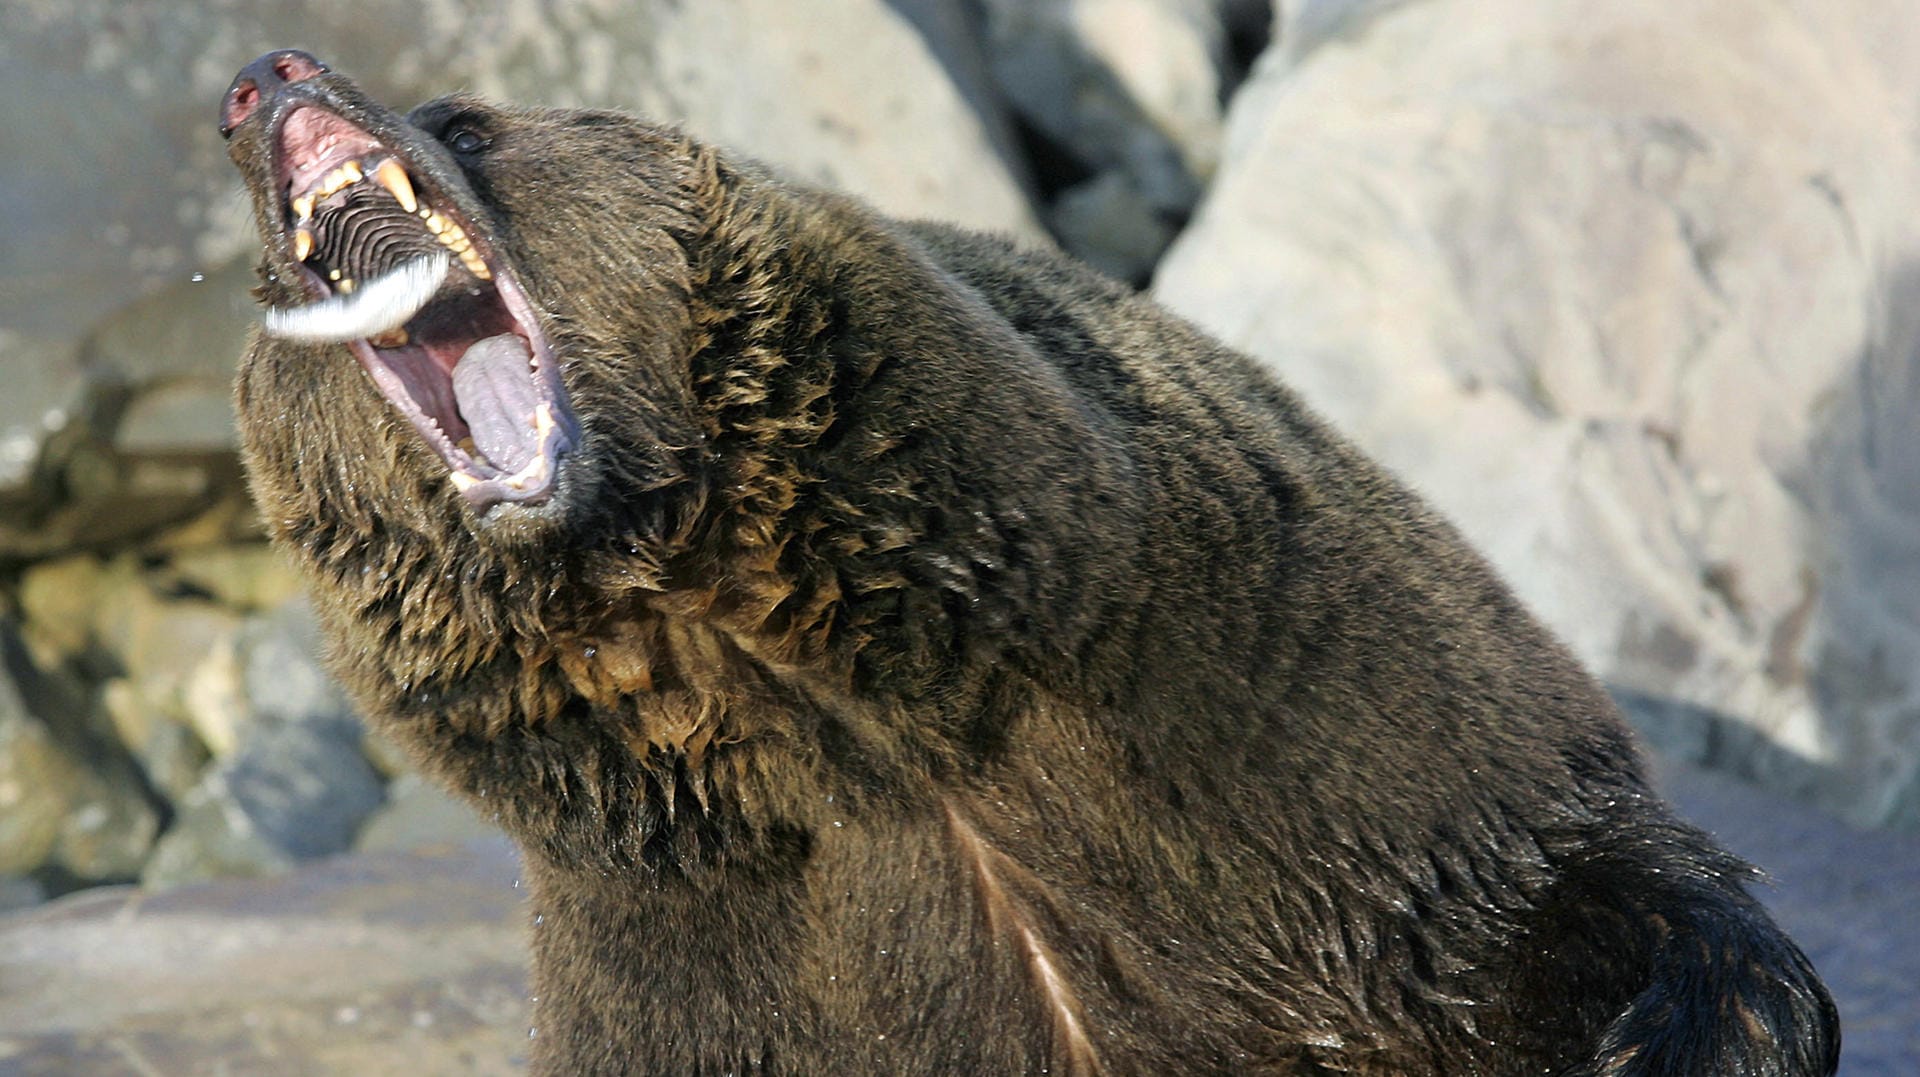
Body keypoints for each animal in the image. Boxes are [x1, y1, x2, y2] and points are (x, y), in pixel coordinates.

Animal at [217, 50, 1835, 1075]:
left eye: (465, 111)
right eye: (259, 274)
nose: (264, 82)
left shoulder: (1302, 730)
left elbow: (1592, 891)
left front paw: (1677, 1032)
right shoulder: (712, 953)